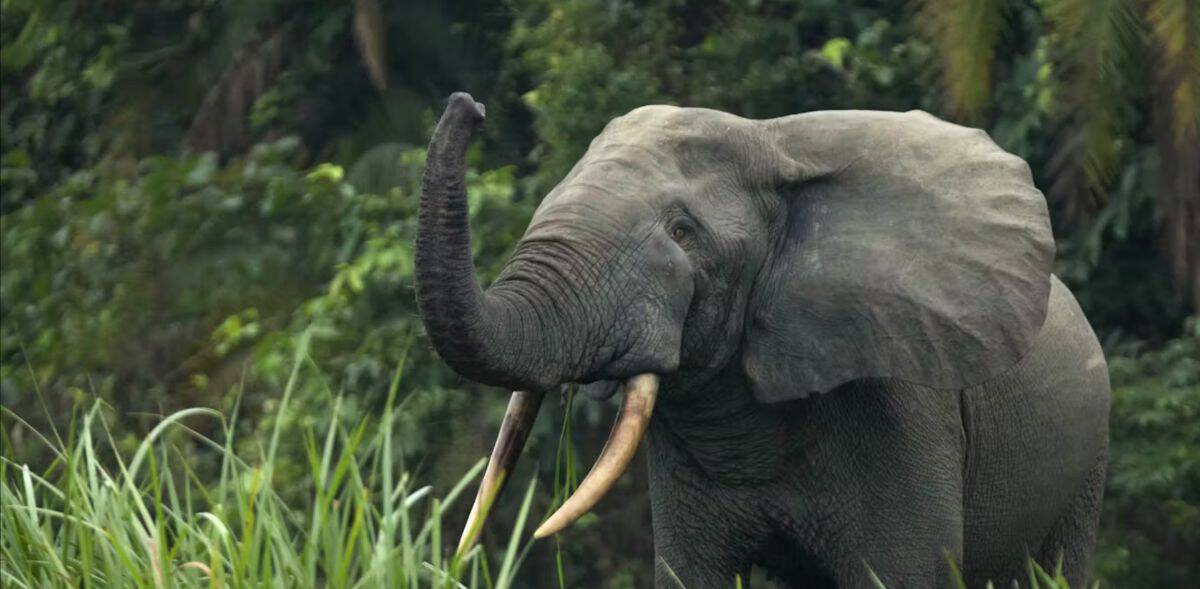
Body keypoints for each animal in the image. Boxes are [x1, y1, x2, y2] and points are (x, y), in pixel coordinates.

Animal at [414, 92, 1110, 588]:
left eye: (684, 231)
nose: (470, 107)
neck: (772, 142)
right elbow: (690, 574)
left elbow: (903, 574)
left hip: (1086, 458)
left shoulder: (902, 405)